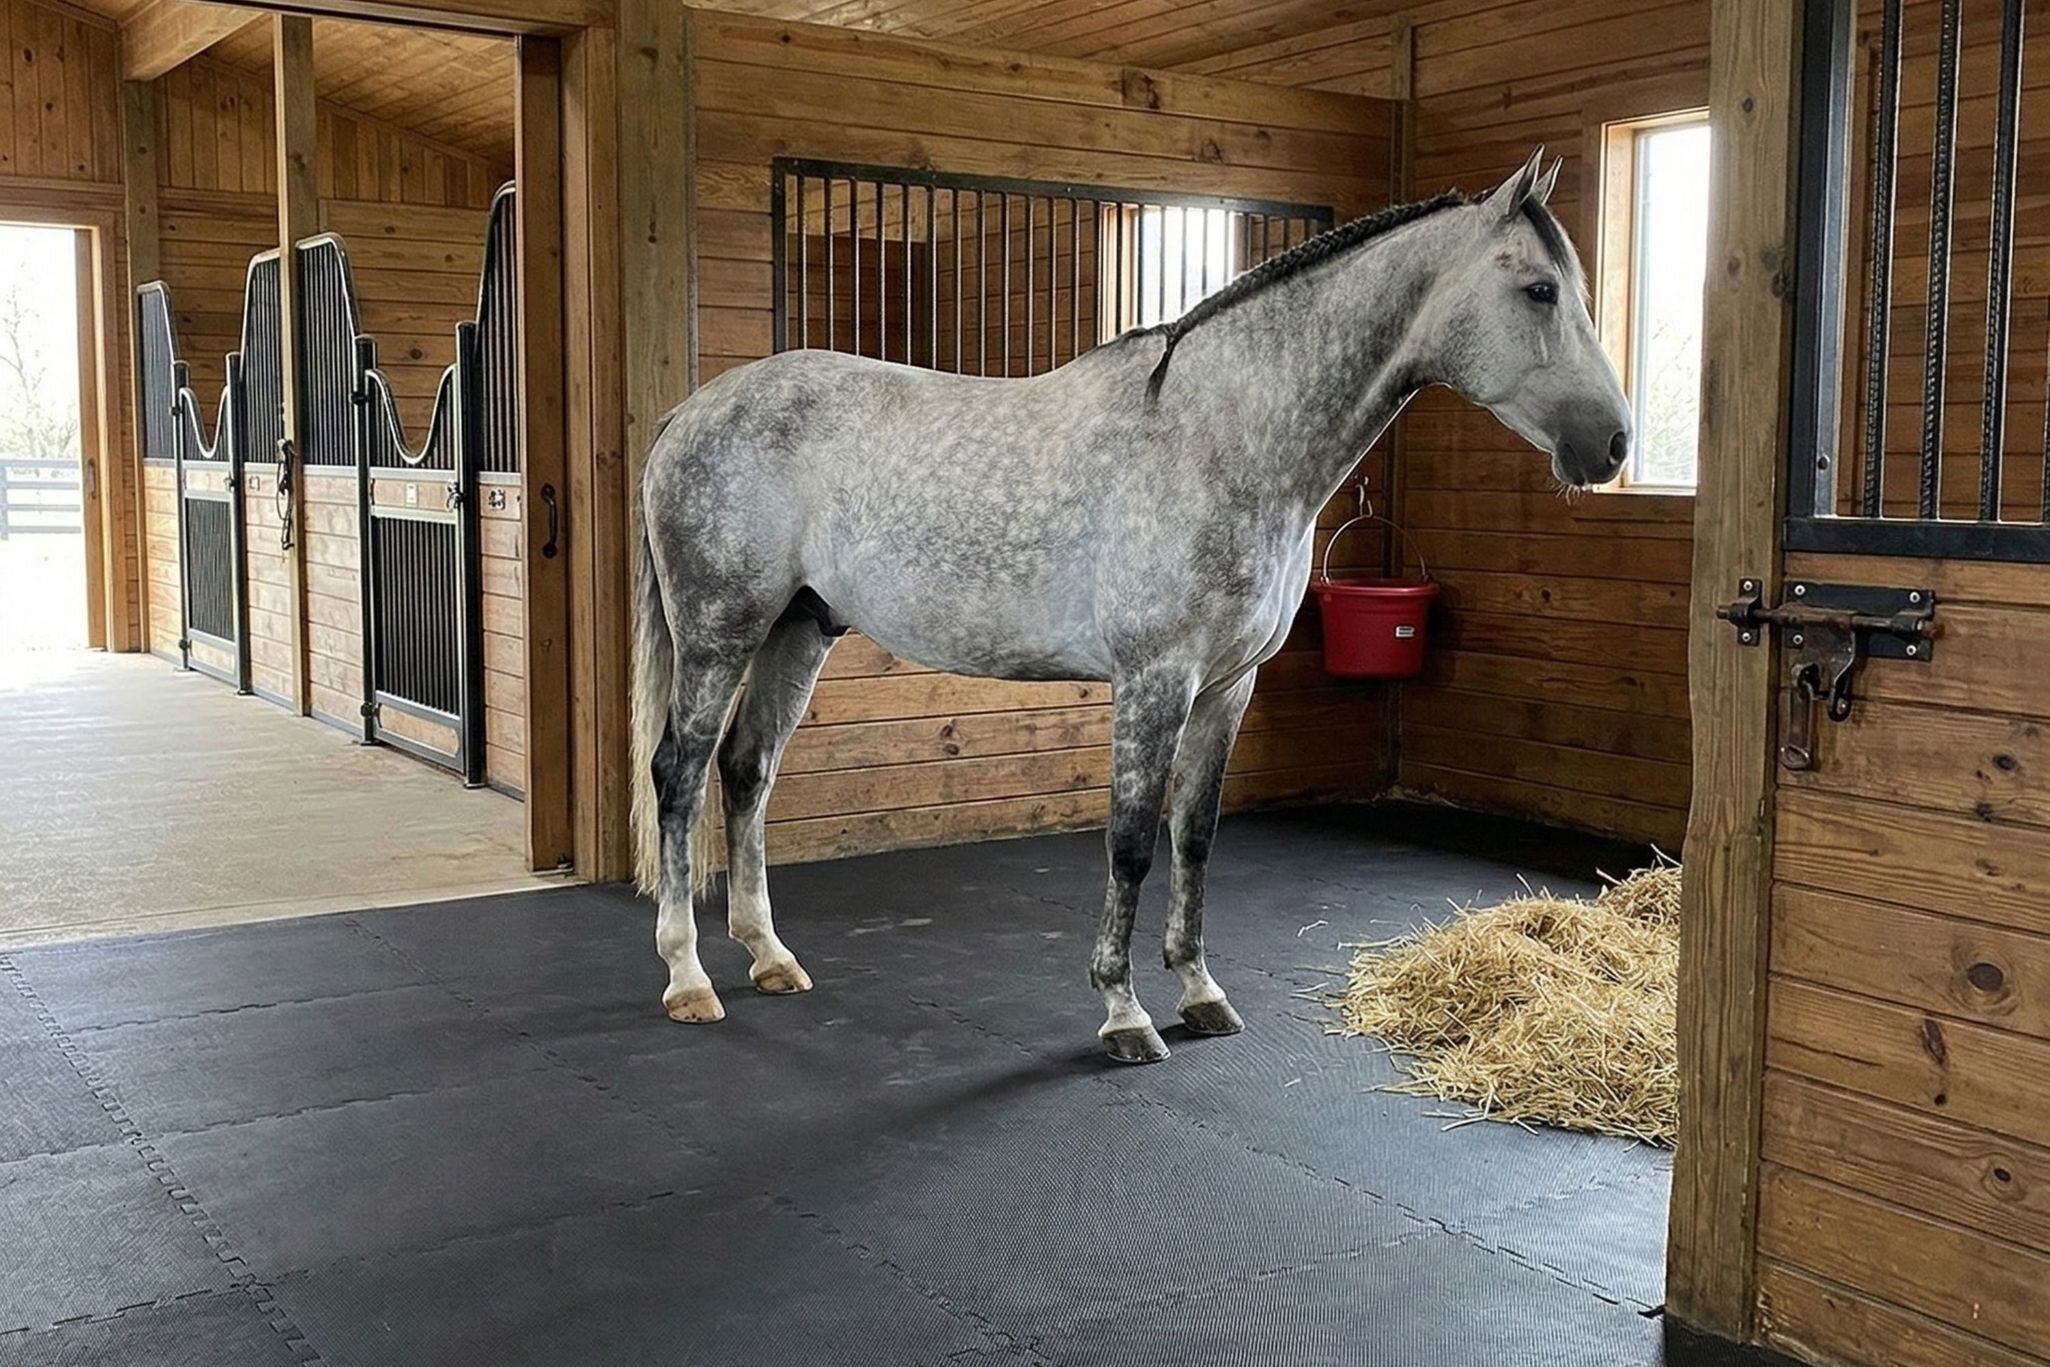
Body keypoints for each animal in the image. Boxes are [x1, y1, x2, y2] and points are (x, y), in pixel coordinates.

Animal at [630, 149, 1632, 1064]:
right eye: (1541, 289)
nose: (1614, 442)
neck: (1221, 440)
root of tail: (689, 415)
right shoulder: (1155, 678)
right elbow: (1130, 843)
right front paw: (1123, 1012)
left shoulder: (1228, 685)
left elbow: (1195, 837)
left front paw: (1200, 992)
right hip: (719, 630)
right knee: (679, 774)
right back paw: (684, 977)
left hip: (798, 628)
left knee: (747, 769)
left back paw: (769, 956)